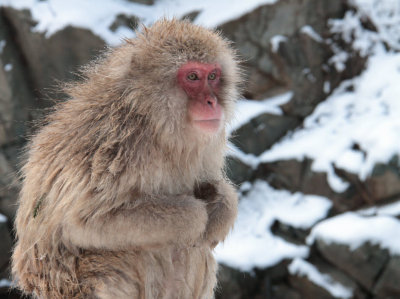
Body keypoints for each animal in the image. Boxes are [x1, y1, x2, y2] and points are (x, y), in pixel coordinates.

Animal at [11, 19, 241, 299]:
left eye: (212, 76)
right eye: (192, 77)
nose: (212, 101)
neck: (154, 121)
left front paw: (220, 204)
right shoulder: (115, 145)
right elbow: (84, 221)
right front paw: (195, 215)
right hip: (70, 285)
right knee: (120, 260)